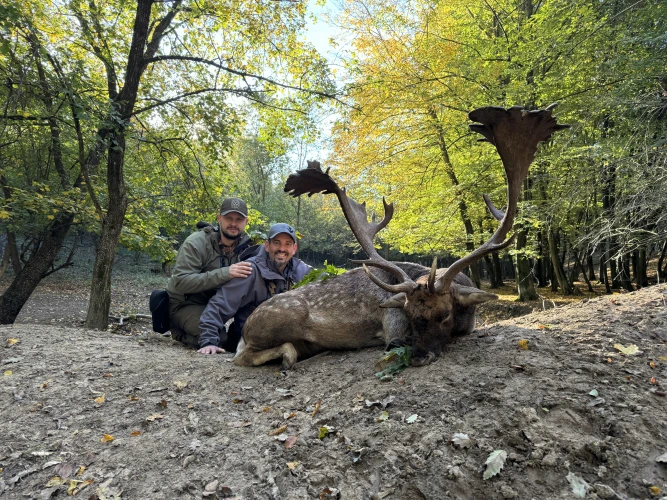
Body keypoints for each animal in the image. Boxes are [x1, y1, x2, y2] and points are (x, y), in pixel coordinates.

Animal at [233, 105, 569, 369]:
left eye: (445, 314)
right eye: (407, 313)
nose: (418, 357)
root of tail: (246, 326)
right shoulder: (391, 322)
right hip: (281, 319)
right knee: (243, 356)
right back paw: (288, 356)